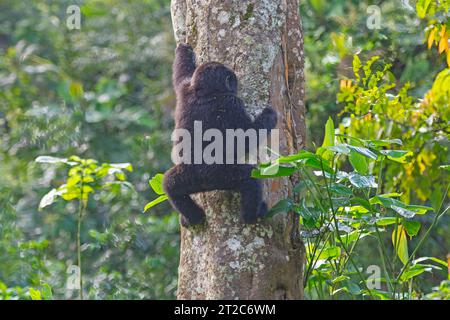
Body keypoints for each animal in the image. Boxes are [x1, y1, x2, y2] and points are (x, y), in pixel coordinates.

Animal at [163, 43, 276, 228]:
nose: (235, 84)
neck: (205, 92)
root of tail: (204, 184)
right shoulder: (232, 103)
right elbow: (247, 136)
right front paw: (270, 115)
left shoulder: (185, 87)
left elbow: (181, 73)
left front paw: (183, 49)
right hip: (220, 175)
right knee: (250, 178)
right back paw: (253, 215)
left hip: (188, 177)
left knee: (169, 185)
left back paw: (192, 217)